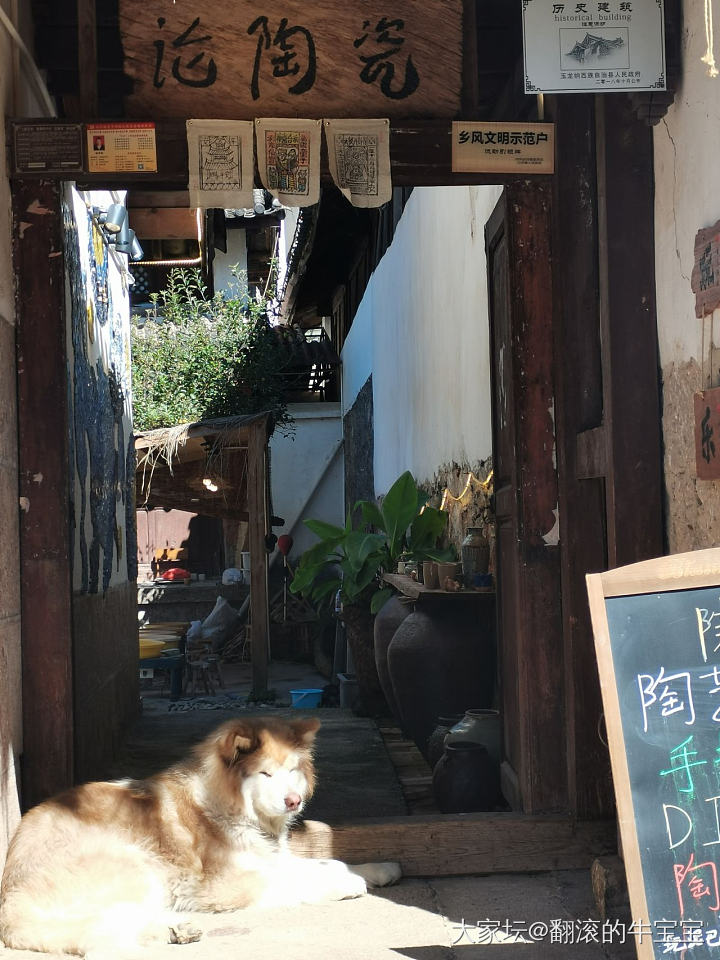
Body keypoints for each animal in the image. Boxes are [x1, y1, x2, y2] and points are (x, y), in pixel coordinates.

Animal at [0, 716, 400, 956]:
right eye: (265, 774)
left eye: (292, 770)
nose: (294, 801)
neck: (229, 806)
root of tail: (10, 893)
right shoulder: (227, 884)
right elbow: (301, 878)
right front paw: (347, 884)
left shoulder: (271, 858)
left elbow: (328, 860)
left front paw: (378, 869)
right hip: (135, 863)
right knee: (96, 934)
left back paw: (172, 929)